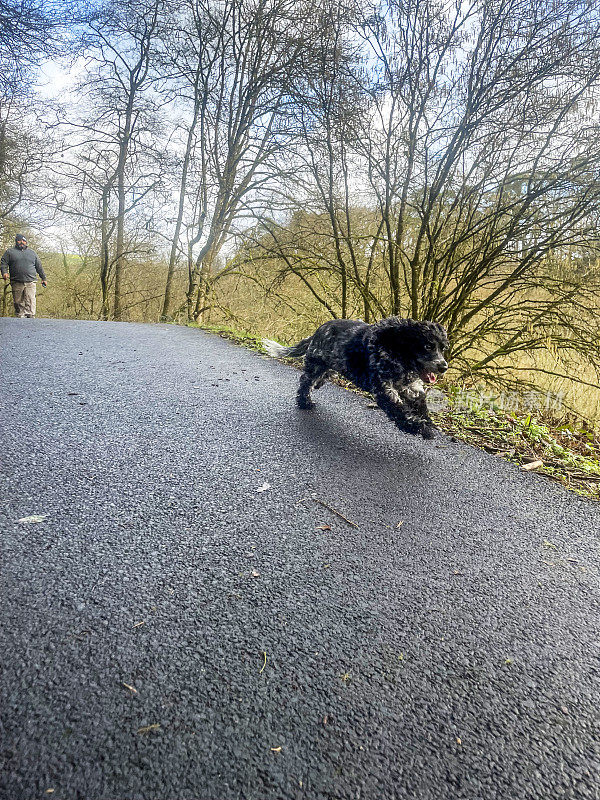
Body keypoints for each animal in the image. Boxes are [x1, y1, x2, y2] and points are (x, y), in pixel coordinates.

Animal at [262, 316, 446, 438]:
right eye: (428, 346)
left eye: (443, 348)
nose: (443, 366)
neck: (395, 347)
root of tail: (317, 332)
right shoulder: (384, 389)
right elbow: (399, 410)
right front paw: (418, 427)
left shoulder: (411, 388)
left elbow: (420, 403)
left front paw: (426, 420)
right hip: (316, 366)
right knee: (305, 383)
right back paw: (304, 402)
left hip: (330, 367)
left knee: (319, 378)